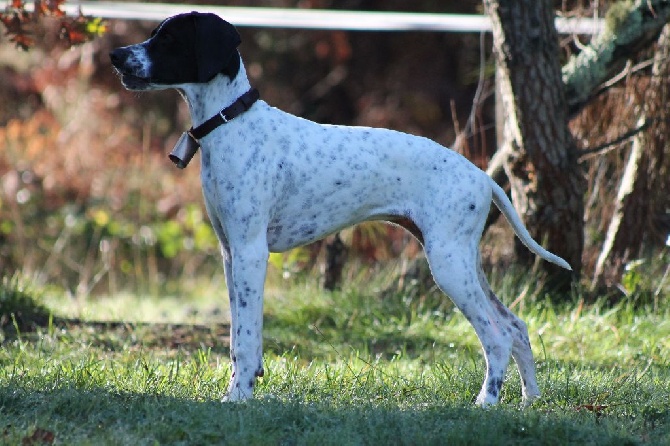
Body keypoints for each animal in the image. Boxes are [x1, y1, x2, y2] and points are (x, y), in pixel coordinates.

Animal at [110, 11, 572, 408]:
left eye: (168, 40)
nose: (115, 54)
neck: (232, 123)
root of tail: (482, 176)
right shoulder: (230, 253)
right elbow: (238, 337)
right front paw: (239, 387)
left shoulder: (250, 252)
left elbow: (246, 335)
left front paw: (239, 396)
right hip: (464, 261)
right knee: (516, 327)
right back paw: (530, 400)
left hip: (449, 266)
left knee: (496, 337)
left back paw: (486, 403)